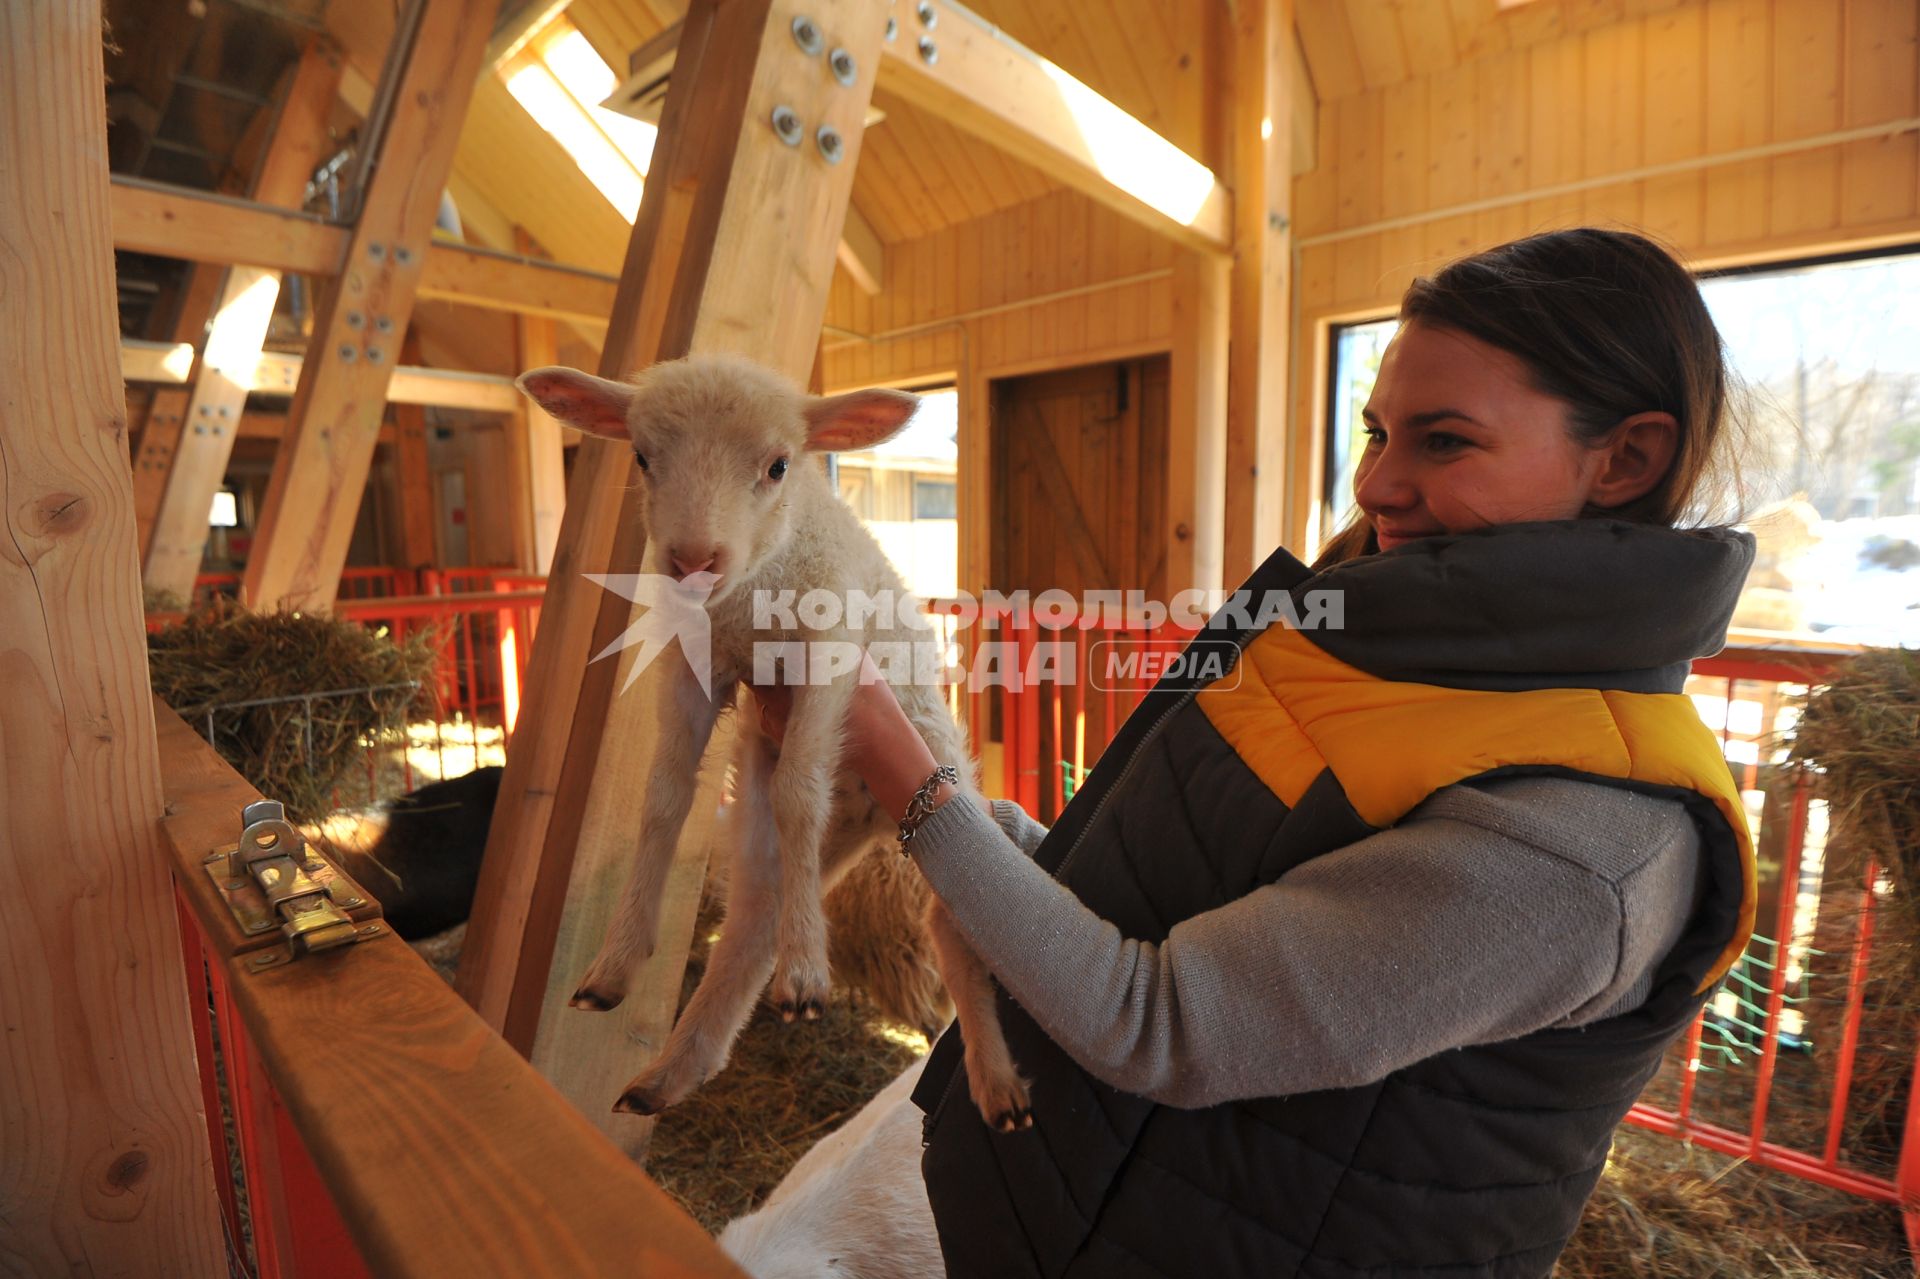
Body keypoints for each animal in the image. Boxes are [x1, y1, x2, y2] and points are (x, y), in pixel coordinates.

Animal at [518, 351, 1036, 1129]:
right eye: (641, 456)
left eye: (779, 465)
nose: (692, 560)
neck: (750, 600)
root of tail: (870, 819)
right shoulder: (694, 664)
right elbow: (663, 798)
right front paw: (617, 961)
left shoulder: (827, 655)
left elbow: (798, 791)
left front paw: (805, 974)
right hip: (782, 819)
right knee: (752, 921)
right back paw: (672, 1070)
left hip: (939, 783)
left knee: (948, 923)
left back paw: (994, 1082)